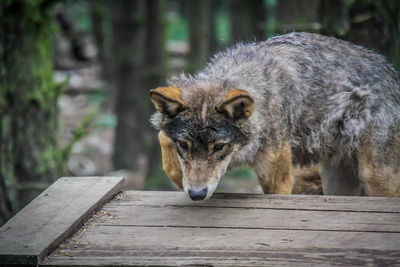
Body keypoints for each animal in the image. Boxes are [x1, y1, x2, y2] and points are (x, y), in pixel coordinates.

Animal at [150, 31, 400, 201]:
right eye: (184, 145)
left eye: (219, 147)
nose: (197, 194)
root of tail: (392, 74)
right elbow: (164, 138)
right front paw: (178, 177)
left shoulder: (280, 180)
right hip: (335, 180)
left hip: (375, 178)